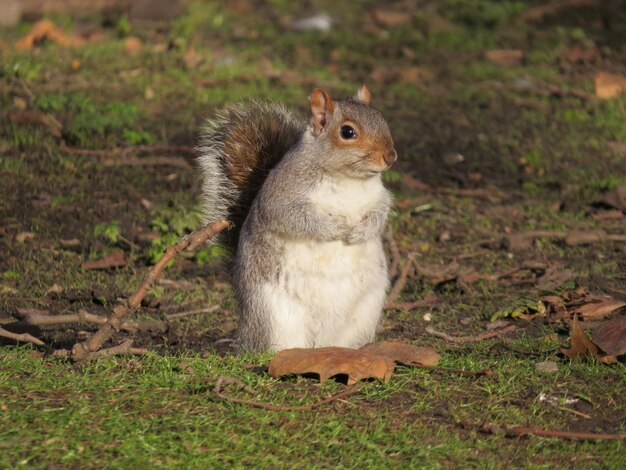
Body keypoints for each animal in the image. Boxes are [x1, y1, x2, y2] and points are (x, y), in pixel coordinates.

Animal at [197, 86, 398, 352]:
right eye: (348, 132)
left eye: (382, 119)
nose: (391, 157)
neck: (348, 179)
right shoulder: (281, 197)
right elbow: (294, 218)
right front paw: (337, 227)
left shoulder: (379, 195)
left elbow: (381, 212)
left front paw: (362, 231)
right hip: (274, 315)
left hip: (365, 312)